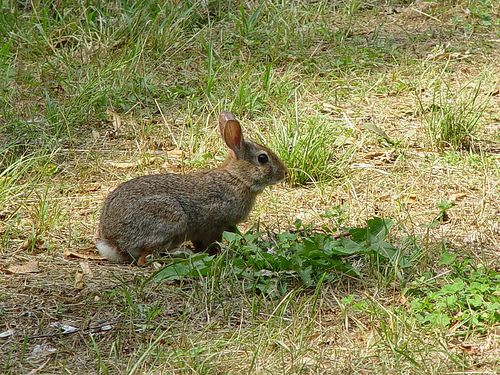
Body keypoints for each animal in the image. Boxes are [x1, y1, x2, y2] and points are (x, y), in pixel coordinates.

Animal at [94, 110, 288, 266]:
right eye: (262, 158)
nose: (283, 173)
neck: (238, 178)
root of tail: (111, 241)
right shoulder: (216, 224)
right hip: (170, 217)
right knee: (145, 258)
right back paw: (180, 255)